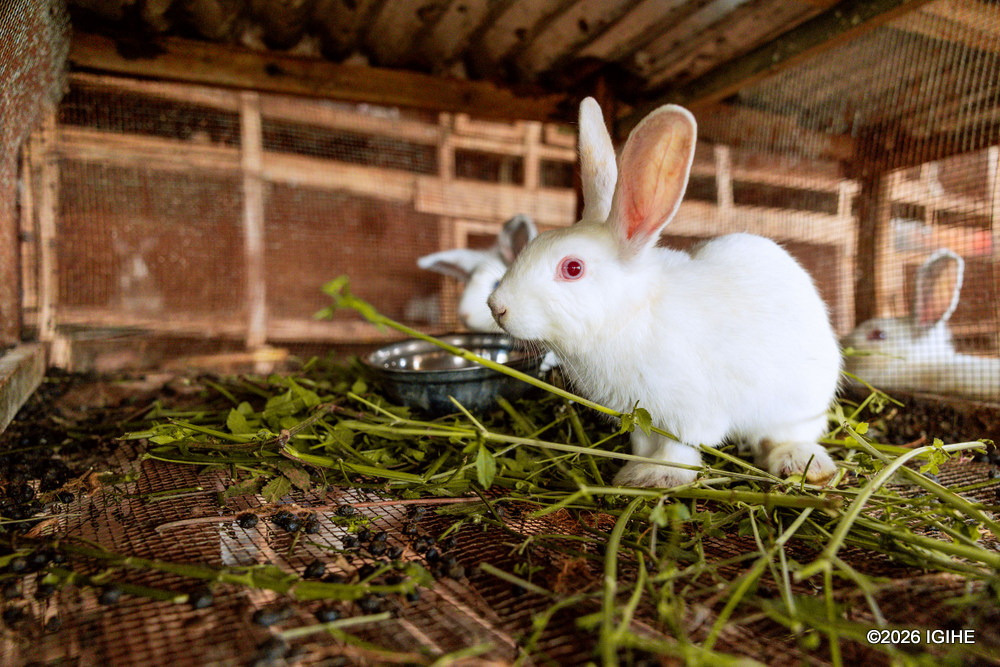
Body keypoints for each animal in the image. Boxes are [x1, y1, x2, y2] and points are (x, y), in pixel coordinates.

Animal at [487, 97, 843, 488]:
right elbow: (645, 444)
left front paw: (656, 476)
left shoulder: (688, 412)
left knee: (786, 436)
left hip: (796, 404)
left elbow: (680, 448)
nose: (497, 307)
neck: (629, 316)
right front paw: (632, 471)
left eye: (573, 268)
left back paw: (799, 463)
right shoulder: (641, 418)